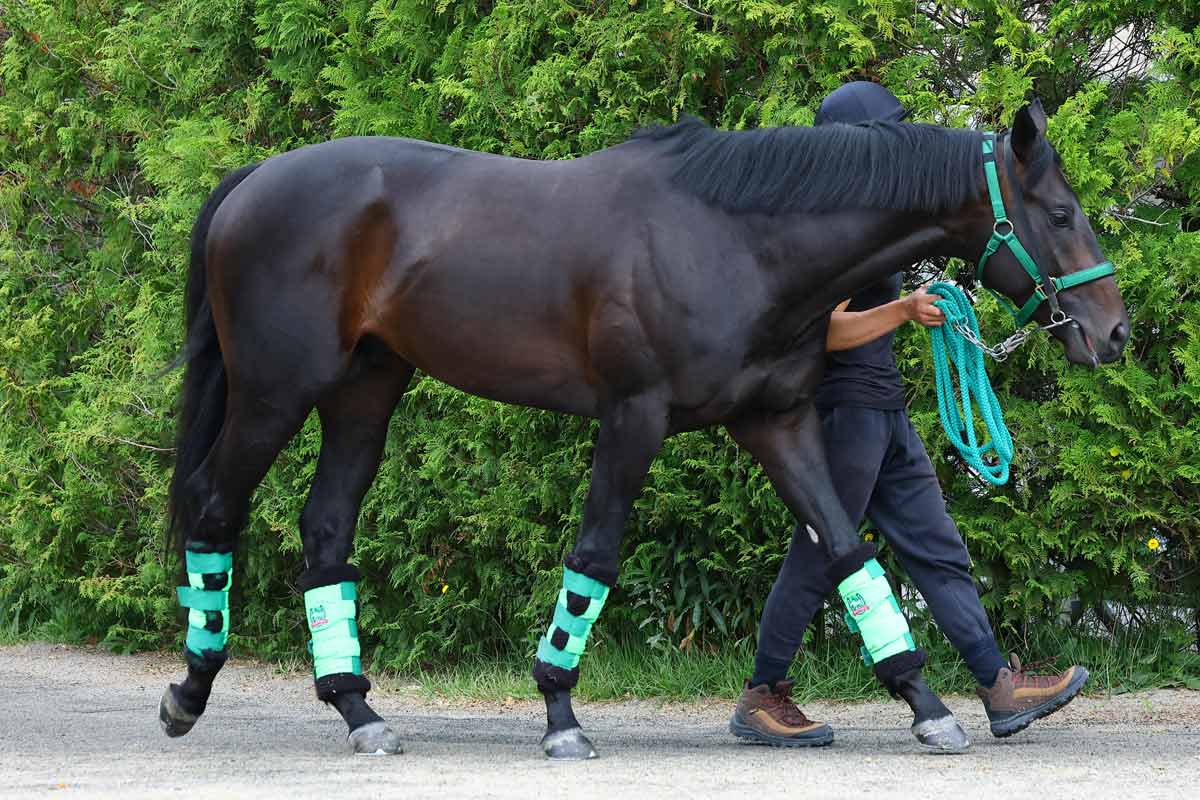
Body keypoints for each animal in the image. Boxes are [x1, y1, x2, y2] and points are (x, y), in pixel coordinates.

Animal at [158, 98, 1128, 760]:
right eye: (1061, 214)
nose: (1114, 333)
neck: (735, 238)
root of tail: (254, 180)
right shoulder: (634, 418)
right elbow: (594, 557)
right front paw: (559, 713)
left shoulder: (775, 421)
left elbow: (848, 550)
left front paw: (927, 704)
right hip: (275, 393)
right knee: (213, 507)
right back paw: (189, 693)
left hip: (365, 391)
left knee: (326, 531)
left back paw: (359, 710)